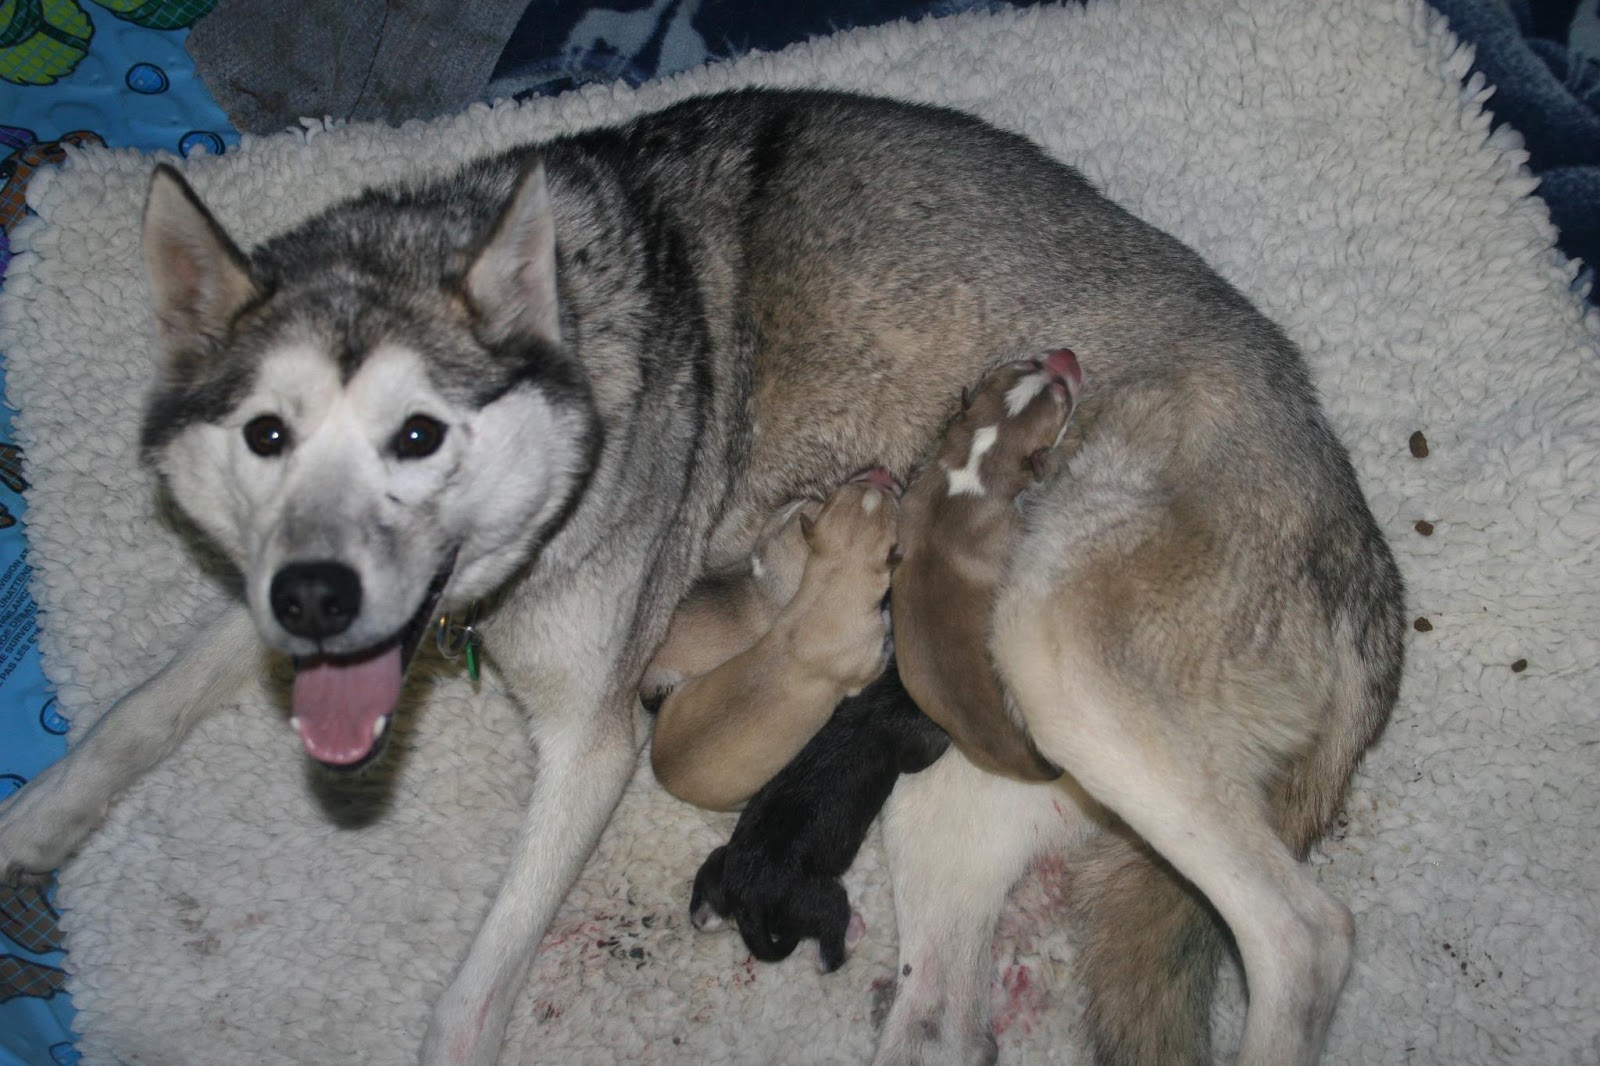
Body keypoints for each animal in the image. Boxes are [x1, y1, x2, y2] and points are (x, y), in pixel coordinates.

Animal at [689, 659, 949, 973]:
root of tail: (747, 900)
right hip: (817, 900)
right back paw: (851, 934)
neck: (883, 695)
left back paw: (706, 915)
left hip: (720, 861)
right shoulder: (913, 740)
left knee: (704, 908)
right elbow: (927, 751)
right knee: (827, 956)